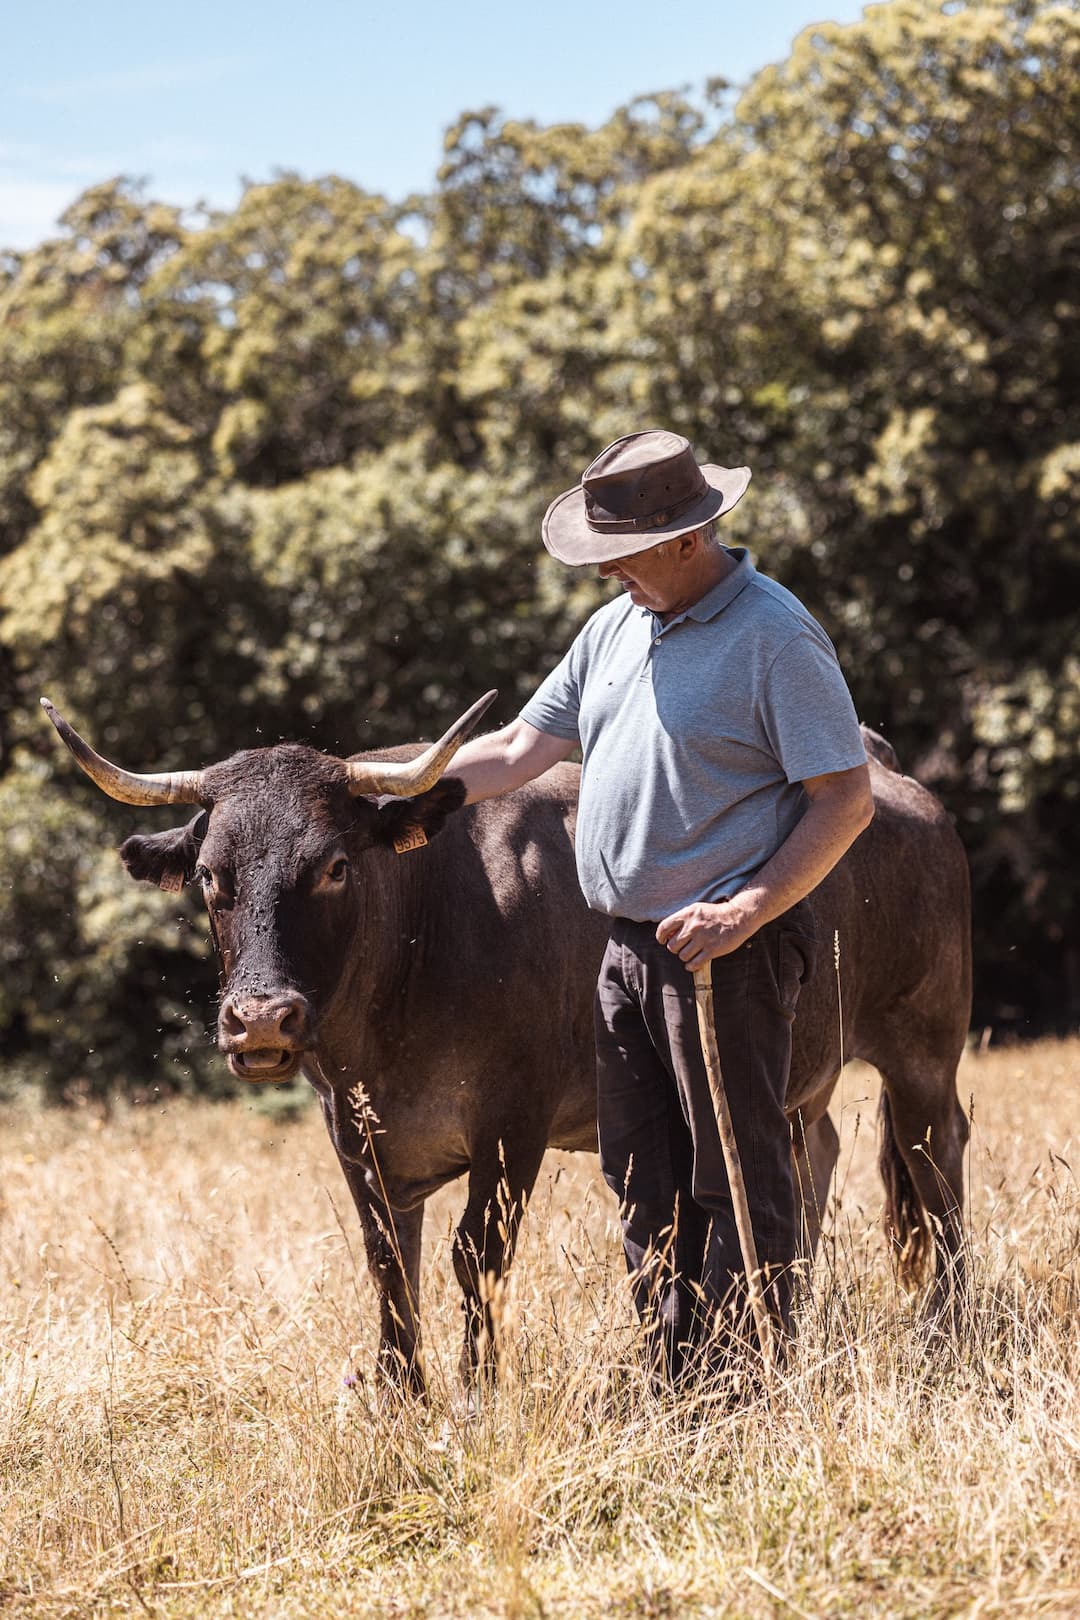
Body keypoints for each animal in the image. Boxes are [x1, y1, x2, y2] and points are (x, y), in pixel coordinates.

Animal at [40, 696, 971, 1393]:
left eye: (335, 865)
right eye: (210, 876)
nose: (262, 1020)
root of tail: (882, 770)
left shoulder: (511, 1126)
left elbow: (473, 1258)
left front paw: (475, 1392)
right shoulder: (355, 1133)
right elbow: (390, 1263)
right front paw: (400, 1397)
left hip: (921, 1044)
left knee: (933, 1158)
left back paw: (948, 1323)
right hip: (802, 1075)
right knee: (810, 1158)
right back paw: (797, 1322)